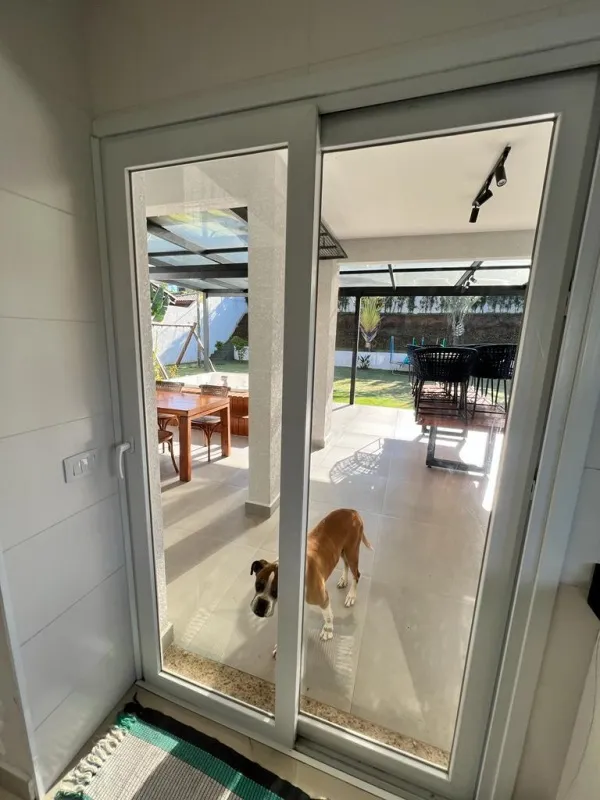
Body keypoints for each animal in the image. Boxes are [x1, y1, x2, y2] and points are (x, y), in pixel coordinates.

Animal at [250, 508, 372, 656]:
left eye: (276, 591)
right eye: (258, 585)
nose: (261, 604)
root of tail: (352, 511)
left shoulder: (323, 598)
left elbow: (328, 616)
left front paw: (327, 630)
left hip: (352, 551)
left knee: (357, 574)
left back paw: (351, 596)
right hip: (342, 551)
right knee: (346, 565)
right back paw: (344, 580)